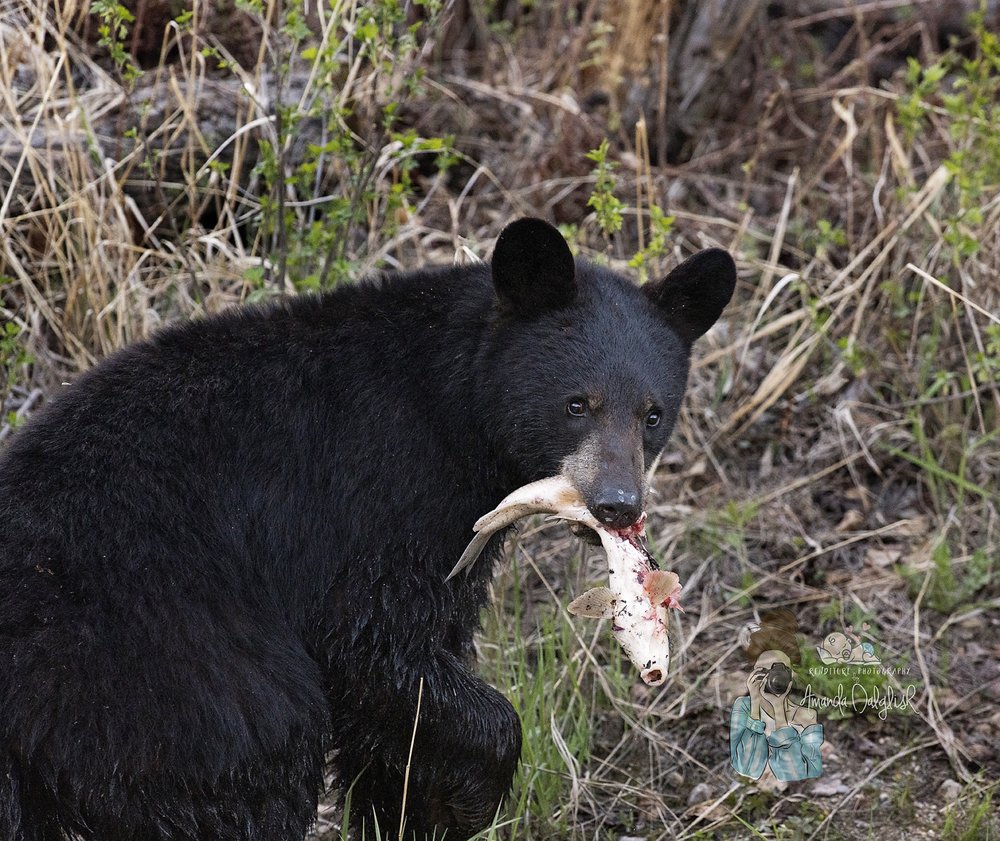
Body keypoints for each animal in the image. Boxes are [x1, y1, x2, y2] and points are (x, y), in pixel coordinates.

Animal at [0, 220, 736, 836]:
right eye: (577, 403)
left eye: (653, 413)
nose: (617, 504)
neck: (454, 409)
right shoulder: (377, 502)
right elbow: (377, 644)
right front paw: (473, 795)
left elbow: (401, 708)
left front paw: (413, 812)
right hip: (162, 671)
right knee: (260, 748)